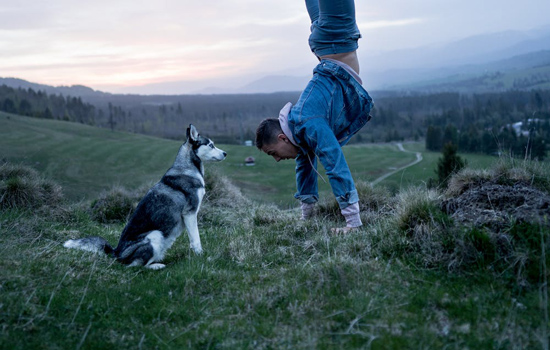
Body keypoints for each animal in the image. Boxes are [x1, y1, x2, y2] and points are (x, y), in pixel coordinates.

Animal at [63, 124, 227, 270]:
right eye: (211, 145)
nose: (225, 153)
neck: (187, 168)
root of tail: (116, 253)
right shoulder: (190, 214)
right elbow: (196, 240)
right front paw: (201, 256)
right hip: (155, 235)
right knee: (134, 266)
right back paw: (157, 266)